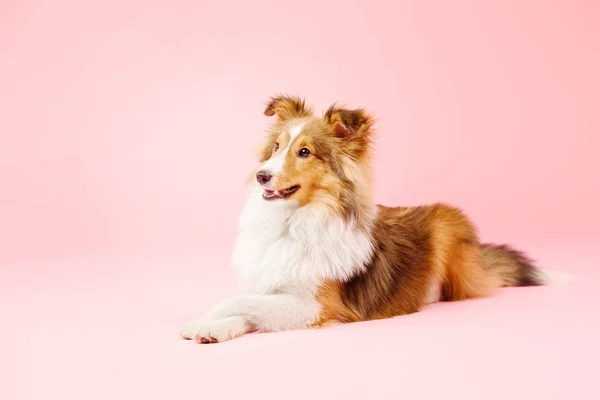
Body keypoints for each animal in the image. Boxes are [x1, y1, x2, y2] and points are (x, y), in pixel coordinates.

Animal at [180, 94, 556, 344]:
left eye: (305, 152)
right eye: (276, 147)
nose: (261, 176)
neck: (292, 224)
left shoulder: (317, 305)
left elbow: (239, 301)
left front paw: (201, 320)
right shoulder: (275, 291)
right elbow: (248, 309)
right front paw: (211, 327)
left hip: (448, 227)